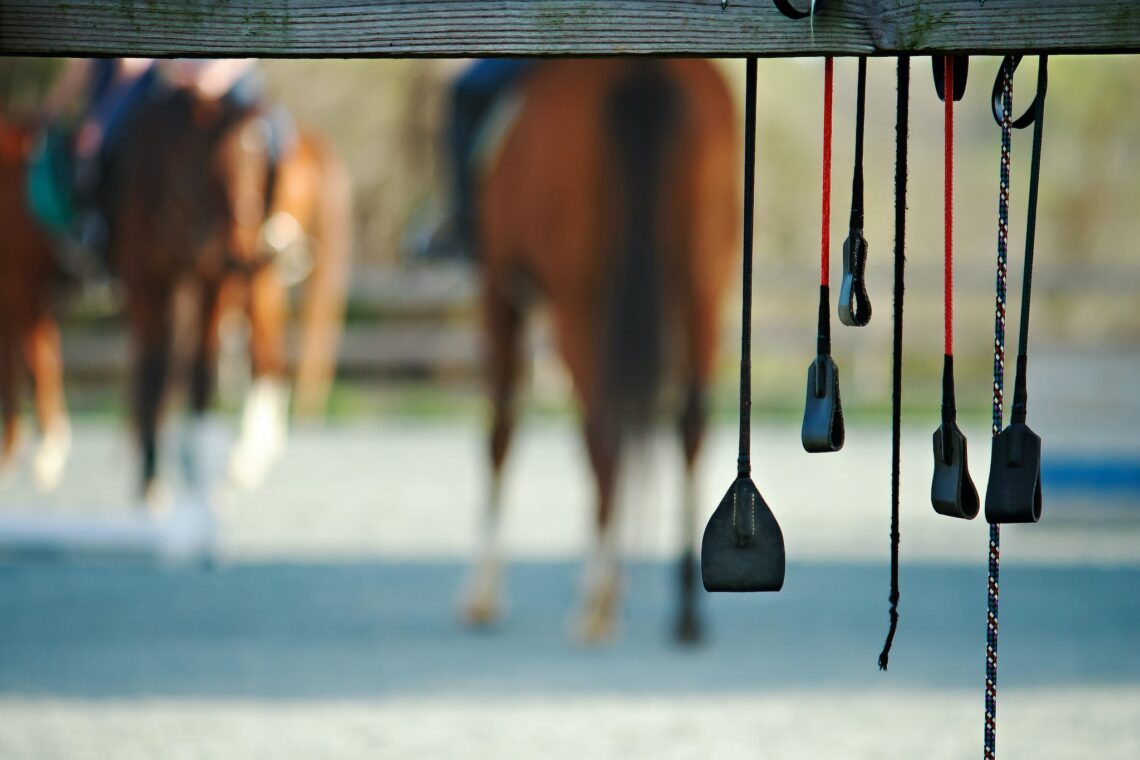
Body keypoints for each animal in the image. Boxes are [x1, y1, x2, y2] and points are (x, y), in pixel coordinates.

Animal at [113, 82, 351, 501]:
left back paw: (239, 462)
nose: (239, 248)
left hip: (251, 283)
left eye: (264, 170)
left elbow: (190, 369)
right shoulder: (152, 280)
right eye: (215, 163)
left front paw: (164, 472)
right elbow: (161, 367)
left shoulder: (198, 281)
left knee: (264, 357)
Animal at [462, 59, 740, 643]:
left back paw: (595, 598)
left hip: (578, 306)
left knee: (601, 436)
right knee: (690, 426)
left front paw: (482, 592)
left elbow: (500, 432)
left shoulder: (499, 290)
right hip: (705, 291)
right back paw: (684, 610)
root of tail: (643, 68)